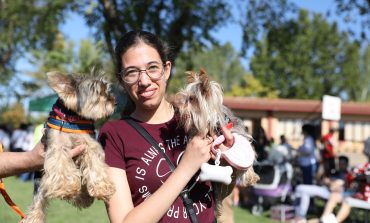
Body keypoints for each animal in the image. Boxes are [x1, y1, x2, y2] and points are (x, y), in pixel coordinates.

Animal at [23, 71, 115, 223]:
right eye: (98, 93)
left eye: (106, 90)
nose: (114, 101)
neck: (73, 118)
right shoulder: (57, 145)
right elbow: (61, 165)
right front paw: (66, 188)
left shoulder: (90, 145)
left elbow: (95, 166)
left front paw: (102, 187)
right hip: (40, 182)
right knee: (38, 201)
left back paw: (84, 197)